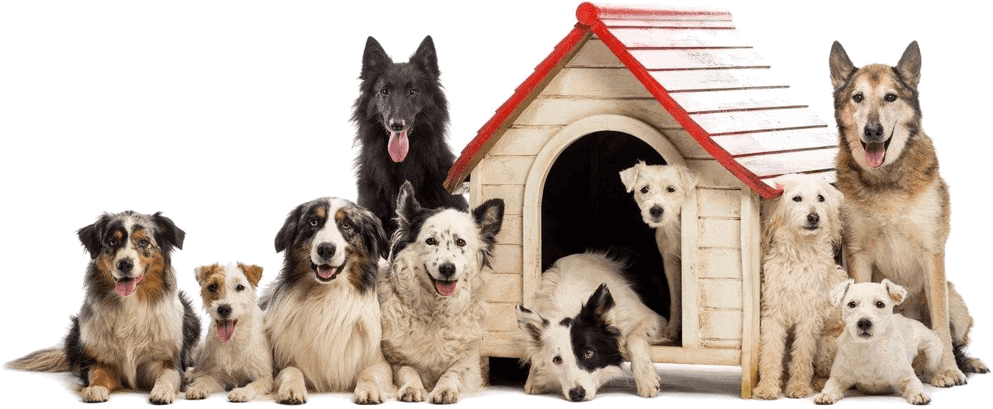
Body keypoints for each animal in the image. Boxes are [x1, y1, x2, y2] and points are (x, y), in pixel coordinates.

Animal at [185, 262, 272, 402]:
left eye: (240, 286)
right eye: (213, 286)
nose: (224, 309)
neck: (233, 343)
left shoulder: (265, 376)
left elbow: (255, 385)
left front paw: (242, 391)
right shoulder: (218, 376)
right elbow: (204, 380)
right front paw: (196, 388)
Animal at [616, 159, 692, 342]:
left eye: (671, 189)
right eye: (644, 189)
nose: (656, 209)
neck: (675, 227)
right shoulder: (670, 263)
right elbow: (675, 299)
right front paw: (672, 330)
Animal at [756, 173, 848, 398]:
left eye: (821, 198)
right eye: (796, 198)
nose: (814, 217)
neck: (799, 254)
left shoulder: (809, 320)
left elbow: (802, 357)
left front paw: (798, 387)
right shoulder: (772, 315)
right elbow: (770, 353)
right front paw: (768, 387)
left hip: (828, 345)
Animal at [816, 280, 948, 404]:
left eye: (880, 303)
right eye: (851, 303)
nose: (864, 322)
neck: (869, 348)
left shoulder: (904, 375)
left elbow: (912, 385)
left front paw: (918, 395)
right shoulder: (839, 375)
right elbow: (831, 386)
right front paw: (825, 395)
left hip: (926, 345)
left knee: (931, 369)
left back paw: (939, 378)